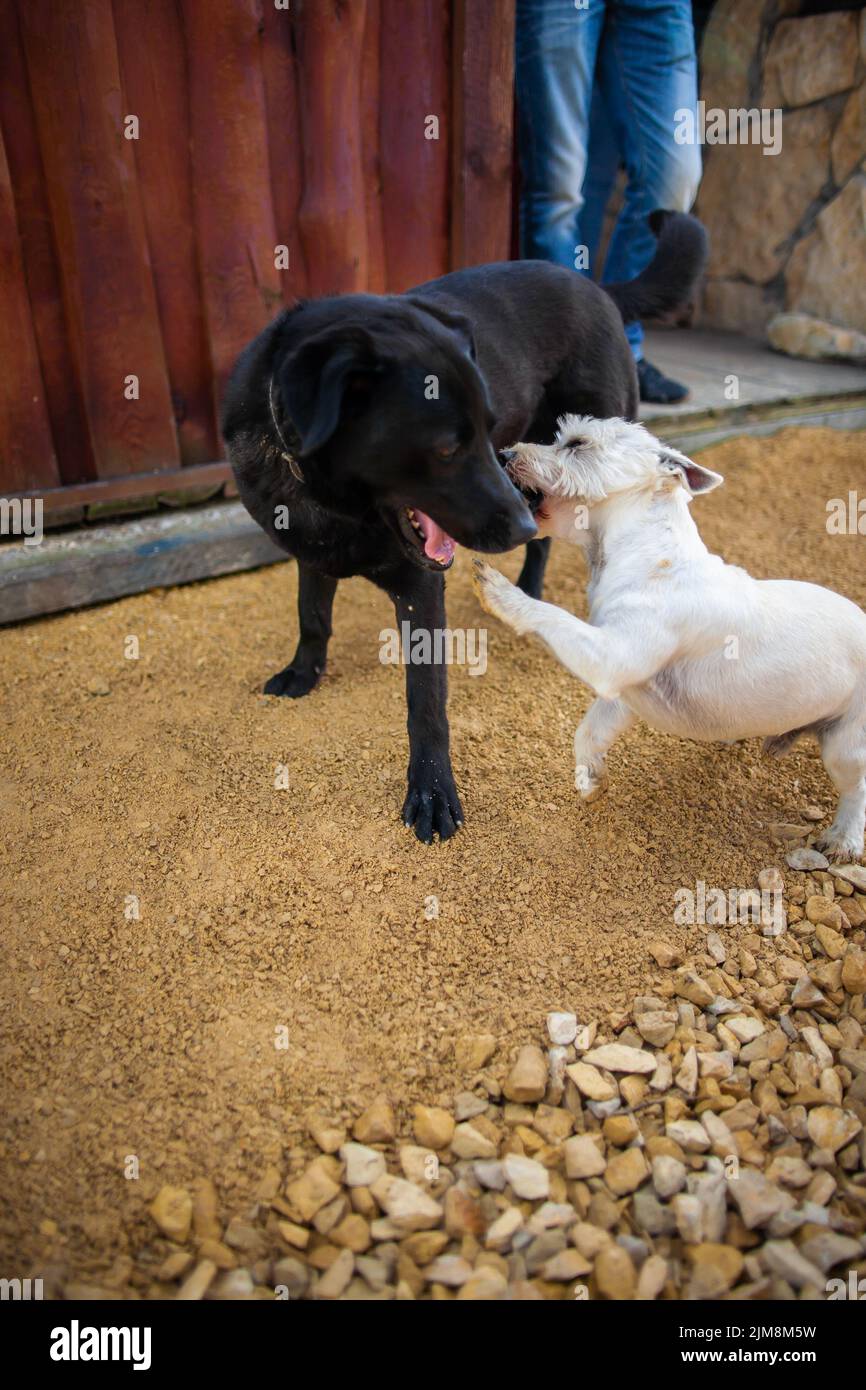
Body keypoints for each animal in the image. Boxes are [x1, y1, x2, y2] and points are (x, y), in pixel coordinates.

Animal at [219, 211, 708, 839]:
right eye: (448, 447)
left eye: (486, 426)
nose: (519, 524)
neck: (325, 492)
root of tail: (594, 285)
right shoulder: (312, 549)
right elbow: (312, 616)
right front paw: (304, 672)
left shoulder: (422, 587)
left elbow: (425, 699)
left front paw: (431, 790)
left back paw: (530, 589)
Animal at [469, 411, 866, 856]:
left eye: (576, 444)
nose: (505, 454)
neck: (643, 554)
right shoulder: (624, 689)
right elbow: (588, 730)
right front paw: (591, 781)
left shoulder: (613, 657)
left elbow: (549, 614)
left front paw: (499, 590)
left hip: (847, 744)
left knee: (857, 789)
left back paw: (844, 838)